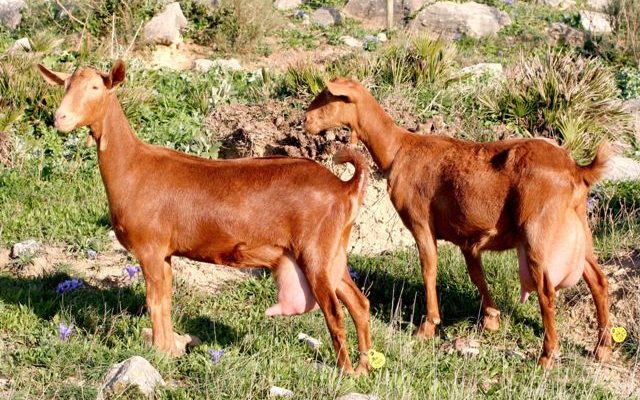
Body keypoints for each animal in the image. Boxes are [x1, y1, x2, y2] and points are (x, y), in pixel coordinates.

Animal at [36, 61, 376, 374]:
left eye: (96, 87)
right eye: (65, 85)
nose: (60, 118)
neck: (133, 167)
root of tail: (343, 187)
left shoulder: (149, 248)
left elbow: (154, 301)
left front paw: (158, 353)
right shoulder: (165, 253)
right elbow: (166, 300)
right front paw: (169, 350)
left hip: (315, 250)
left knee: (334, 310)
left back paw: (345, 371)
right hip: (334, 253)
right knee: (359, 303)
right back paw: (364, 367)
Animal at [304, 76, 616, 368]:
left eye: (329, 96)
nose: (306, 120)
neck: (398, 150)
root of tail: (576, 170)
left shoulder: (420, 222)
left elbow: (429, 268)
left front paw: (428, 326)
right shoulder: (467, 237)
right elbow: (476, 274)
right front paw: (491, 319)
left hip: (539, 234)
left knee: (547, 291)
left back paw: (548, 355)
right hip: (581, 229)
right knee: (598, 280)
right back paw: (602, 347)